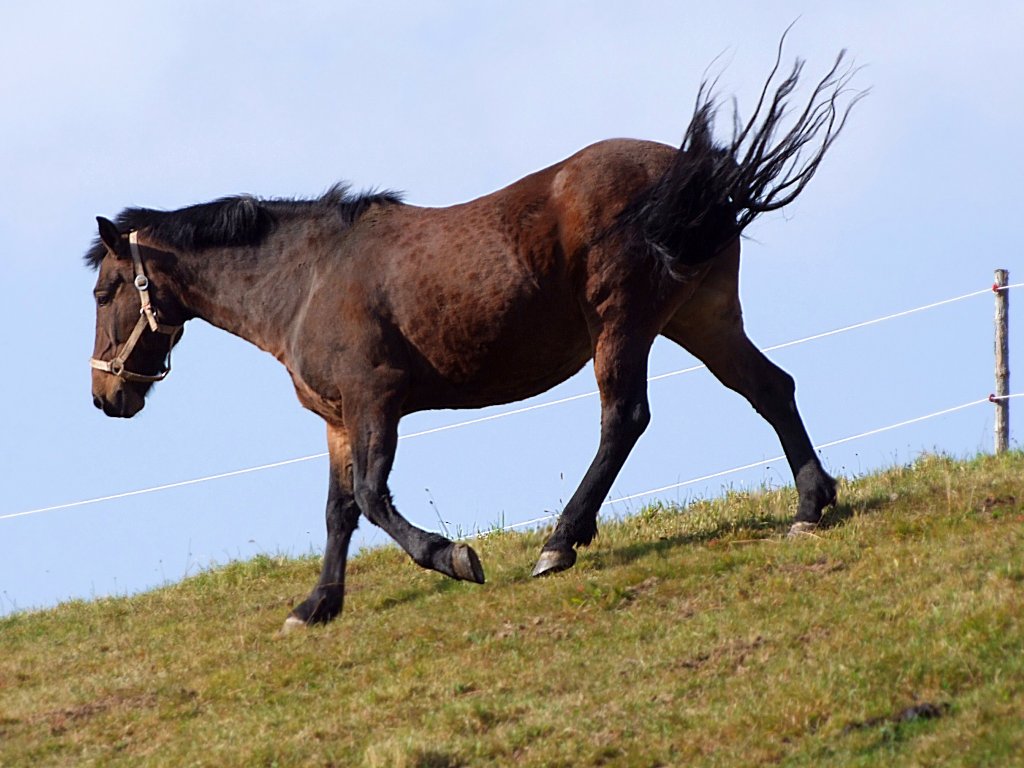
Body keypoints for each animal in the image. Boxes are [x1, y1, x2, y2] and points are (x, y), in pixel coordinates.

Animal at [88, 49, 860, 630]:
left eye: (102, 293)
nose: (104, 396)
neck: (308, 280)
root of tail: (695, 173)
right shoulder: (338, 419)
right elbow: (338, 510)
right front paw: (317, 605)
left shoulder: (376, 399)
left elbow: (372, 497)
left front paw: (452, 556)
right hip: (699, 317)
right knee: (769, 388)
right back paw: (810, 506)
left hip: (623, 322)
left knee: (625, 419)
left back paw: (559, 544)